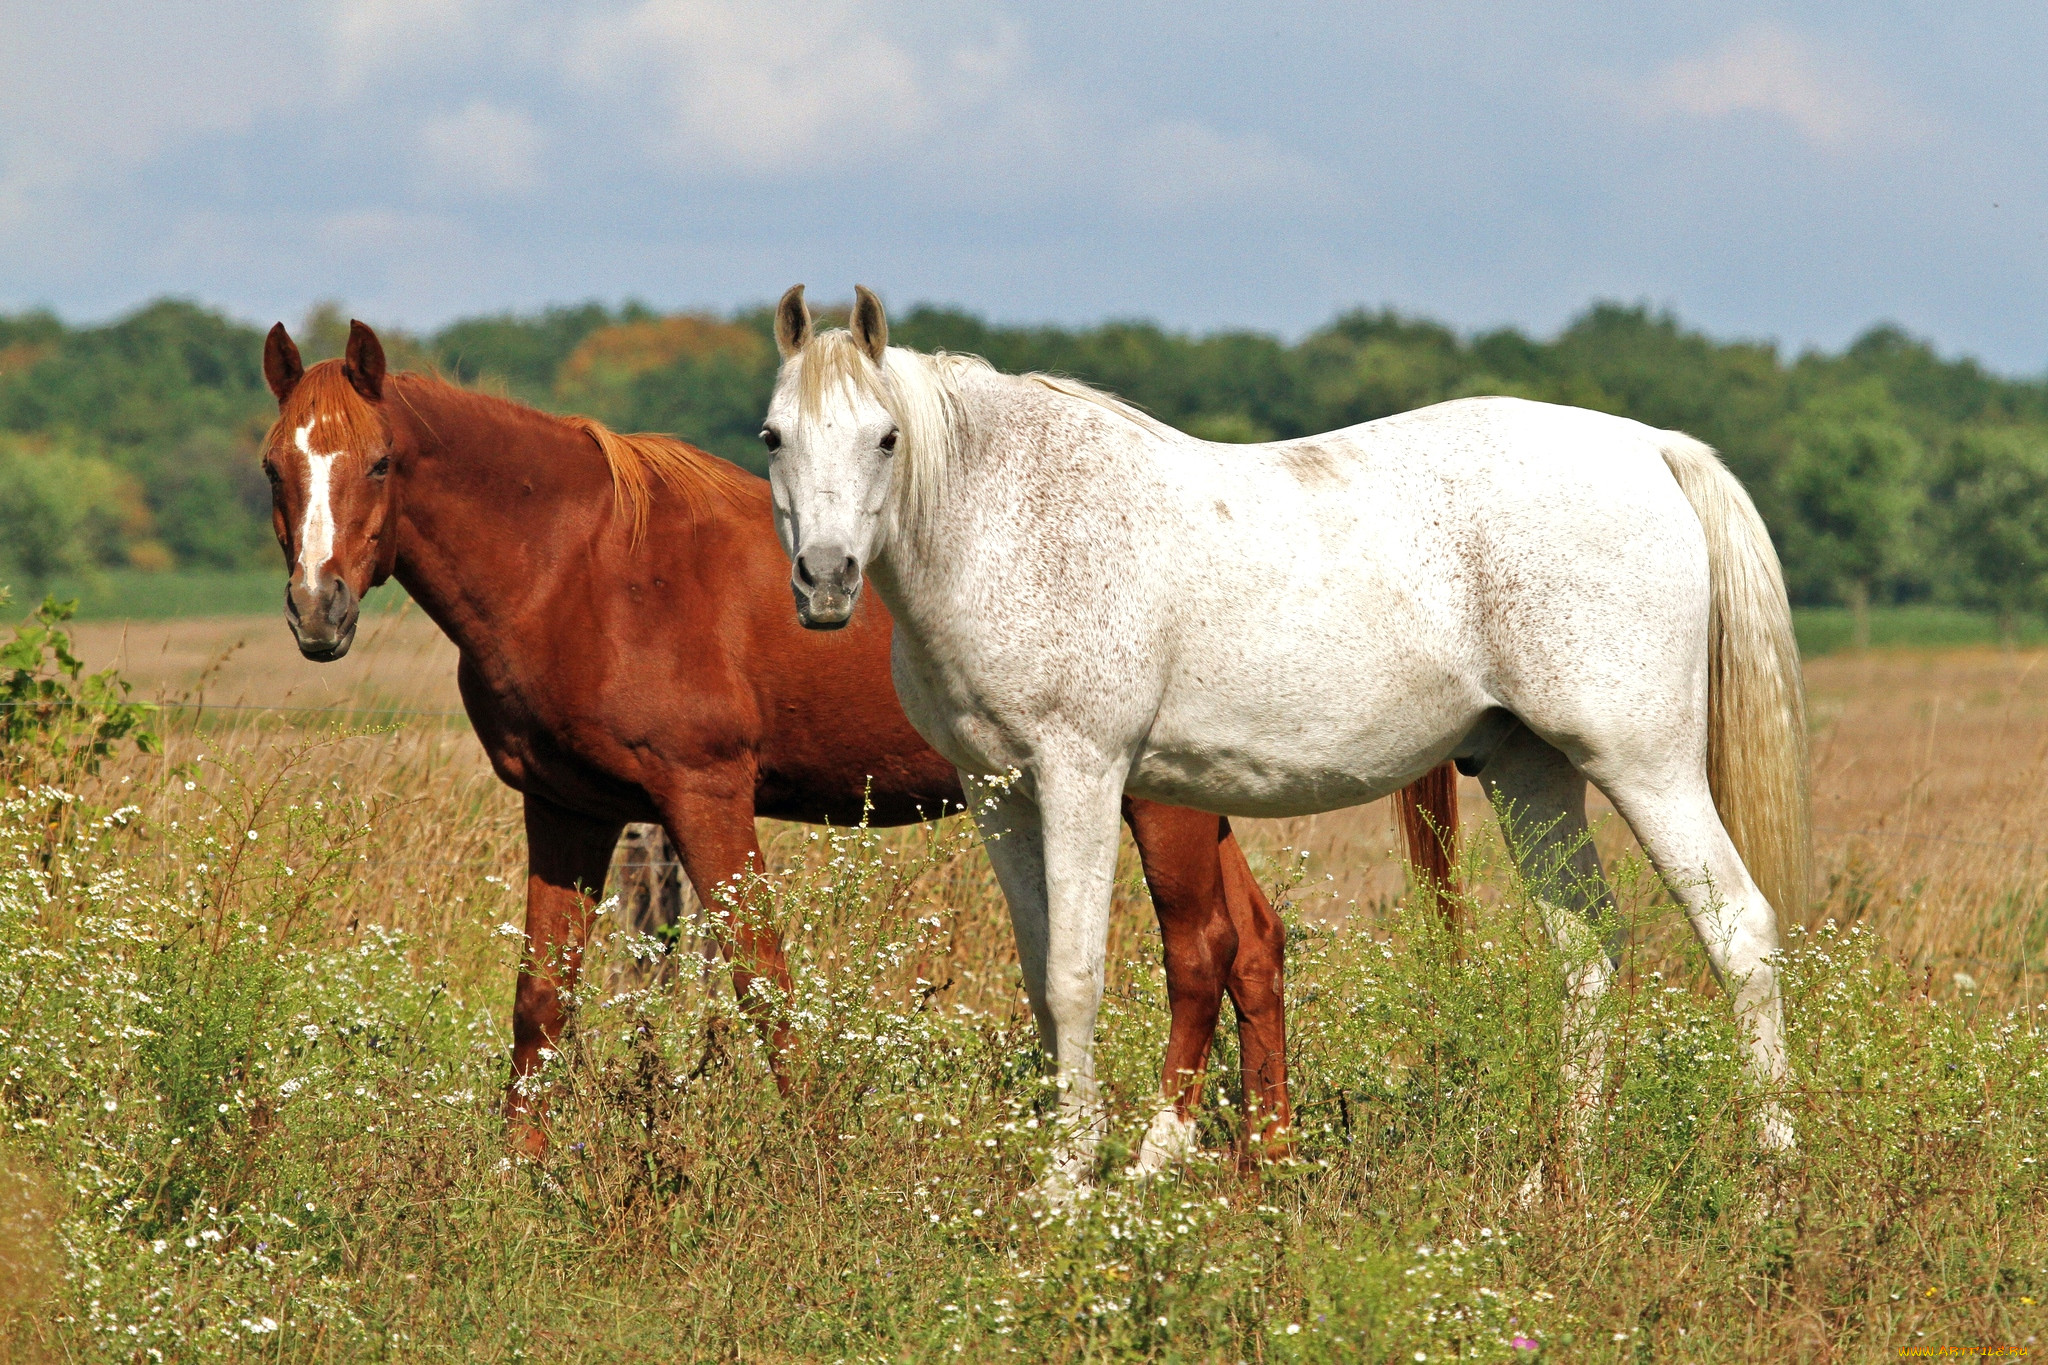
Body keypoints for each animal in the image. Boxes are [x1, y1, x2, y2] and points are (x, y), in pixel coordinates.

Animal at [256, 317, 1466, 1162]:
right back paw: (1265, 1167)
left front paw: (812, 1156)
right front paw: (519, 1178)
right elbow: (540, 1002)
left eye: (377, 464)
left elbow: (760, 982)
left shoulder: (703, 797)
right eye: (274, 466)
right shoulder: (566, 810)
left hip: (1158, 800)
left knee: (1206, 947)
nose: (317, 612)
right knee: (1256, 944)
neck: (585, 564)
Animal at [757, 288, 1810, 1195]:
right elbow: (1038, 972)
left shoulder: (1079, 775)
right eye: (773, 436)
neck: (1010, 517)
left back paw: (1769, 1182)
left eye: (886, 437)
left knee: (1739, 933)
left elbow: (1075, 975)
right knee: (1589, 954)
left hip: (1645, 766)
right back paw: (1560, 1181)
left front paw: (1068, 1183)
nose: (823, 578)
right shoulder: (998, 791)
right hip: (1531, 775)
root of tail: (1649, 447)